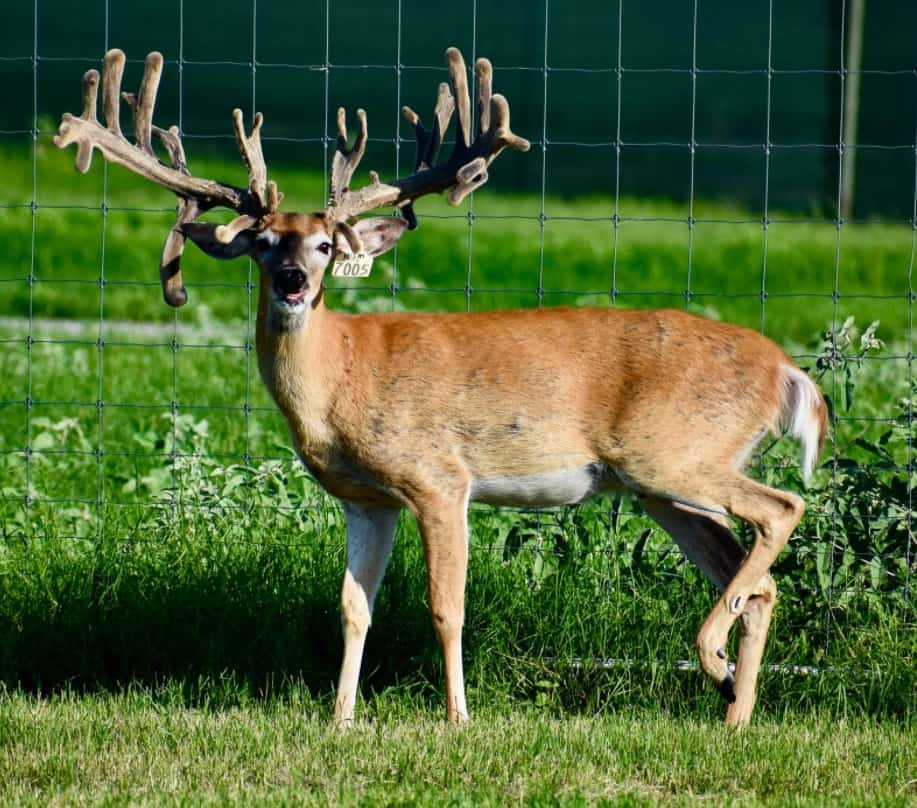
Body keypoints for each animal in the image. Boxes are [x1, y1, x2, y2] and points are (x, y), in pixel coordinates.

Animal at [55, 46, 827, 727]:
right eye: (263, 241)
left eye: (326, 245)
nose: (295, 281)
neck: (342, 376)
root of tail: (785, 371)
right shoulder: (366, 499)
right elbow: (353, 607)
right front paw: (340, 717)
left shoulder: (439, 477)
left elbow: (444, 605)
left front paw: (457, 715)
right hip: (662, 484)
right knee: (758, 579)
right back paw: (733, 708)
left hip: (669, 453)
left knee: (782, 508)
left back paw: (712, 659)